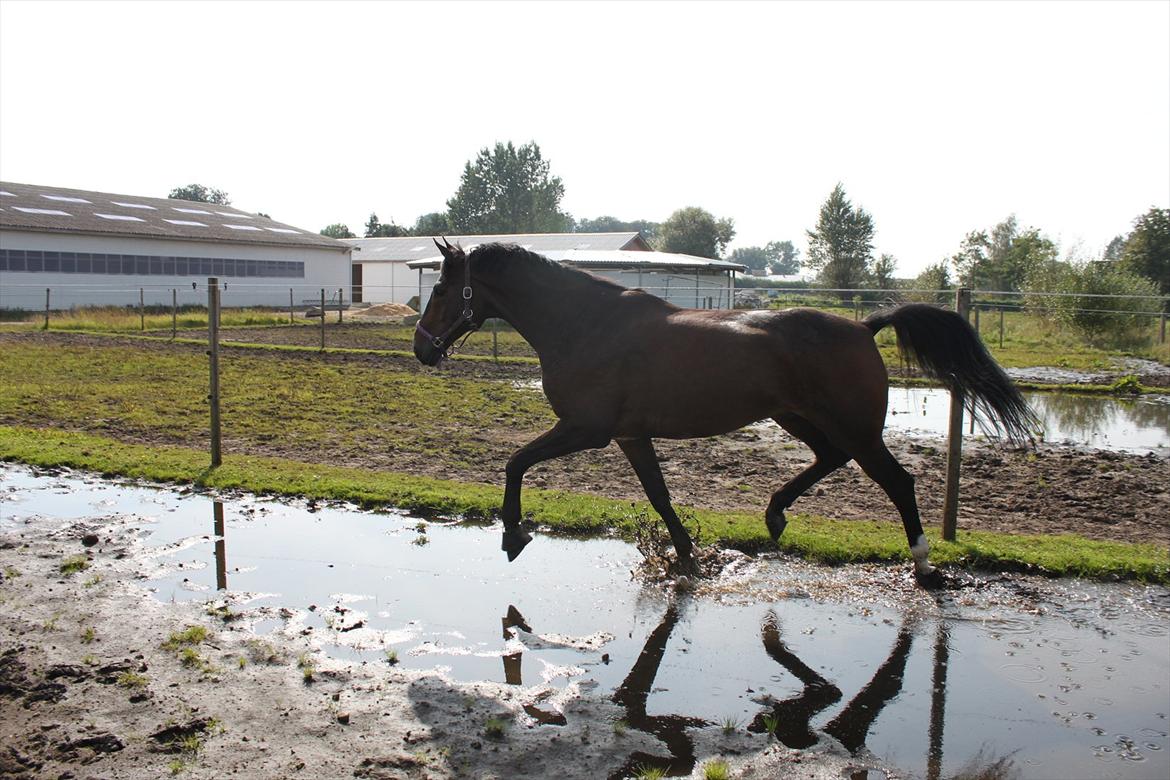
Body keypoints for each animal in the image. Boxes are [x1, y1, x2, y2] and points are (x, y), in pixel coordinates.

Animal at [414, 239, 1034, 584]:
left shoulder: (587, 429)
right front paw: (688, 559)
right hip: (799, 419)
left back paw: (925, 565)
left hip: (856, 429)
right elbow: (659, 496)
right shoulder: (630, 435)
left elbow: (516, 462)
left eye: (442, 289)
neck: (585, 325)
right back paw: (775, 514)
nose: (422, 348)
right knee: (828, 459)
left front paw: (514, 534)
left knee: (898, 482)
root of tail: (863, 327)